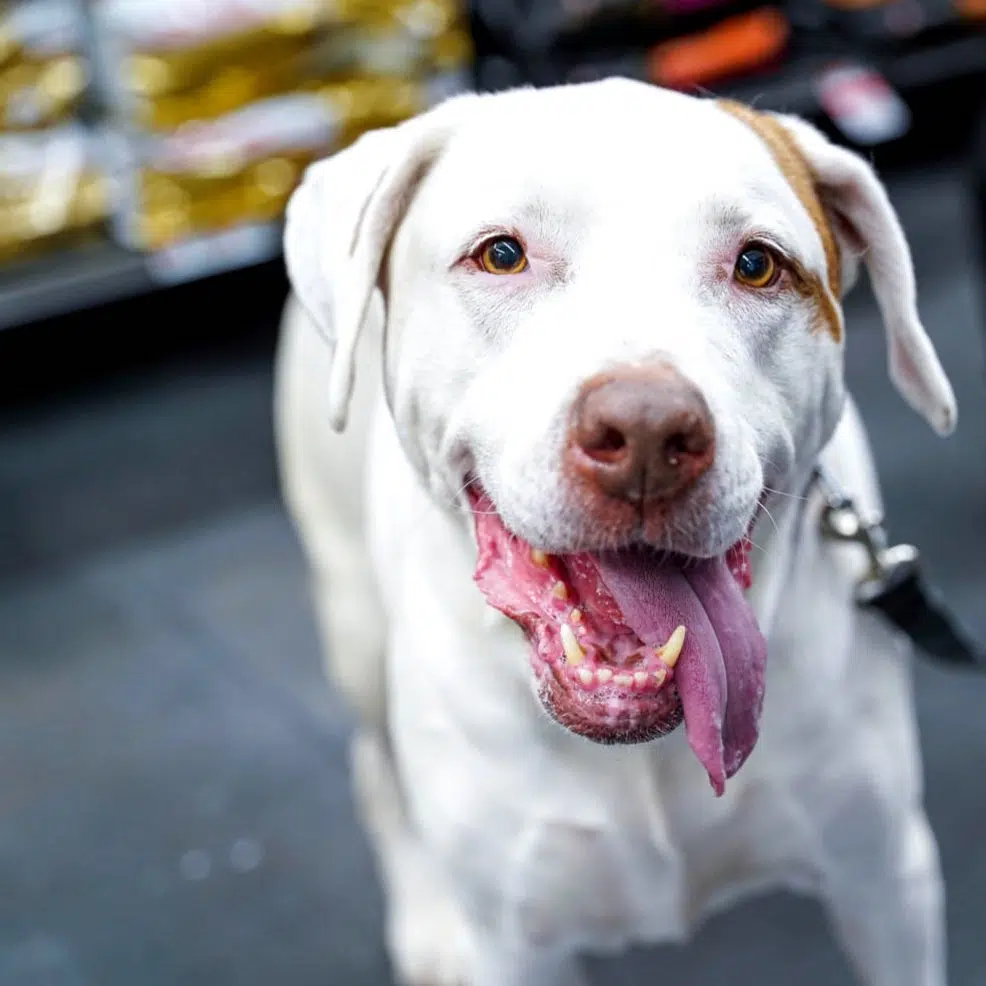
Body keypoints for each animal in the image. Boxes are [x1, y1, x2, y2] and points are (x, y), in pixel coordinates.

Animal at [270, 79, 952, 984]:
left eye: (758, 265)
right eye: (501, 255)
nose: (649, 433)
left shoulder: (885, 878)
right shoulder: (514, 943)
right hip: (351, 624)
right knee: (373, 769)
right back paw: (427, 919)